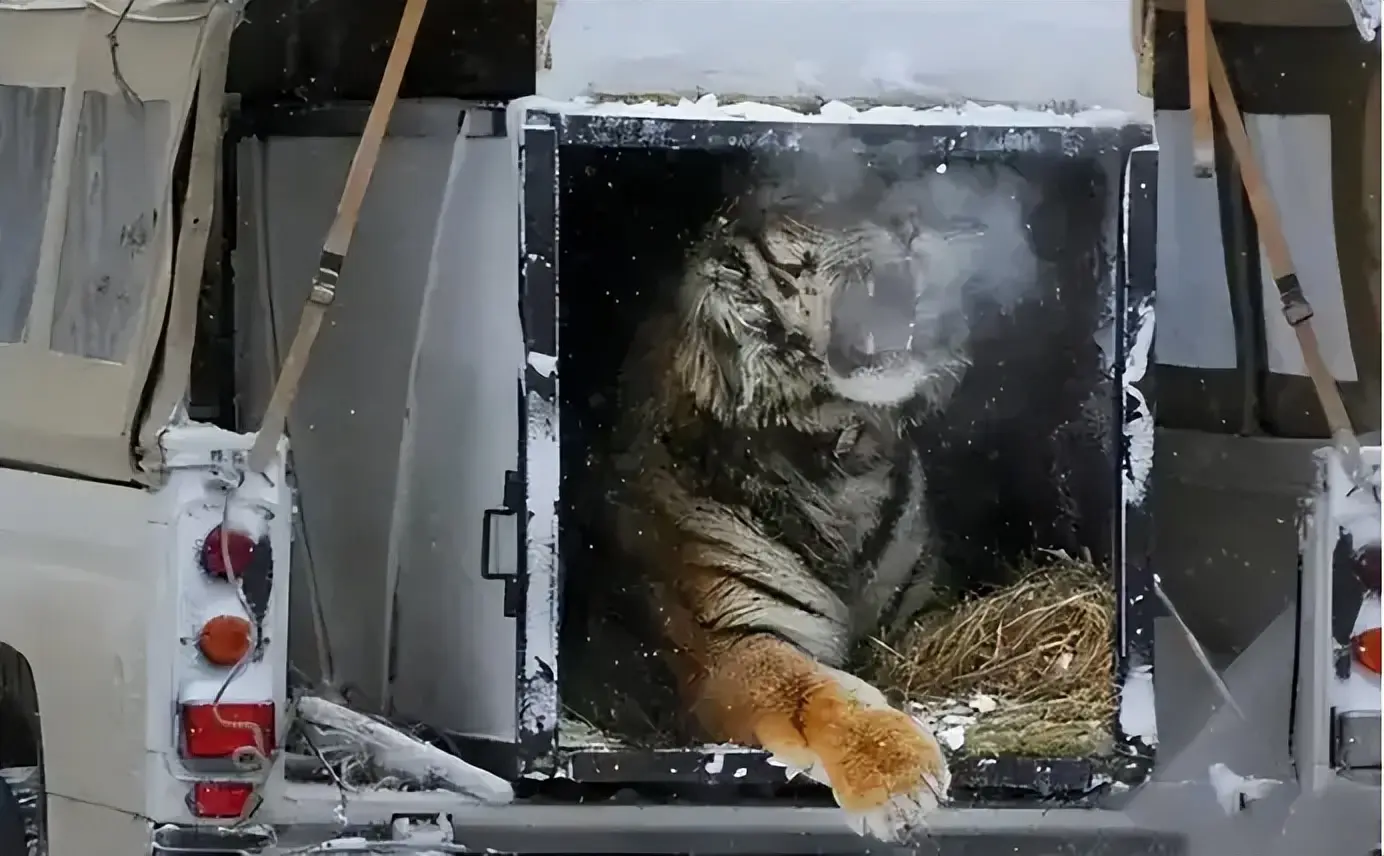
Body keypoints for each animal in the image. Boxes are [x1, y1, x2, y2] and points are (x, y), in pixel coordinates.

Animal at [602, 163, 1032, 842]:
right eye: (817, 194)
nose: (910, 223)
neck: (842, 452)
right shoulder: (731, 640)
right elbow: (814, 690)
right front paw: (895, 775)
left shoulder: (918, 602)